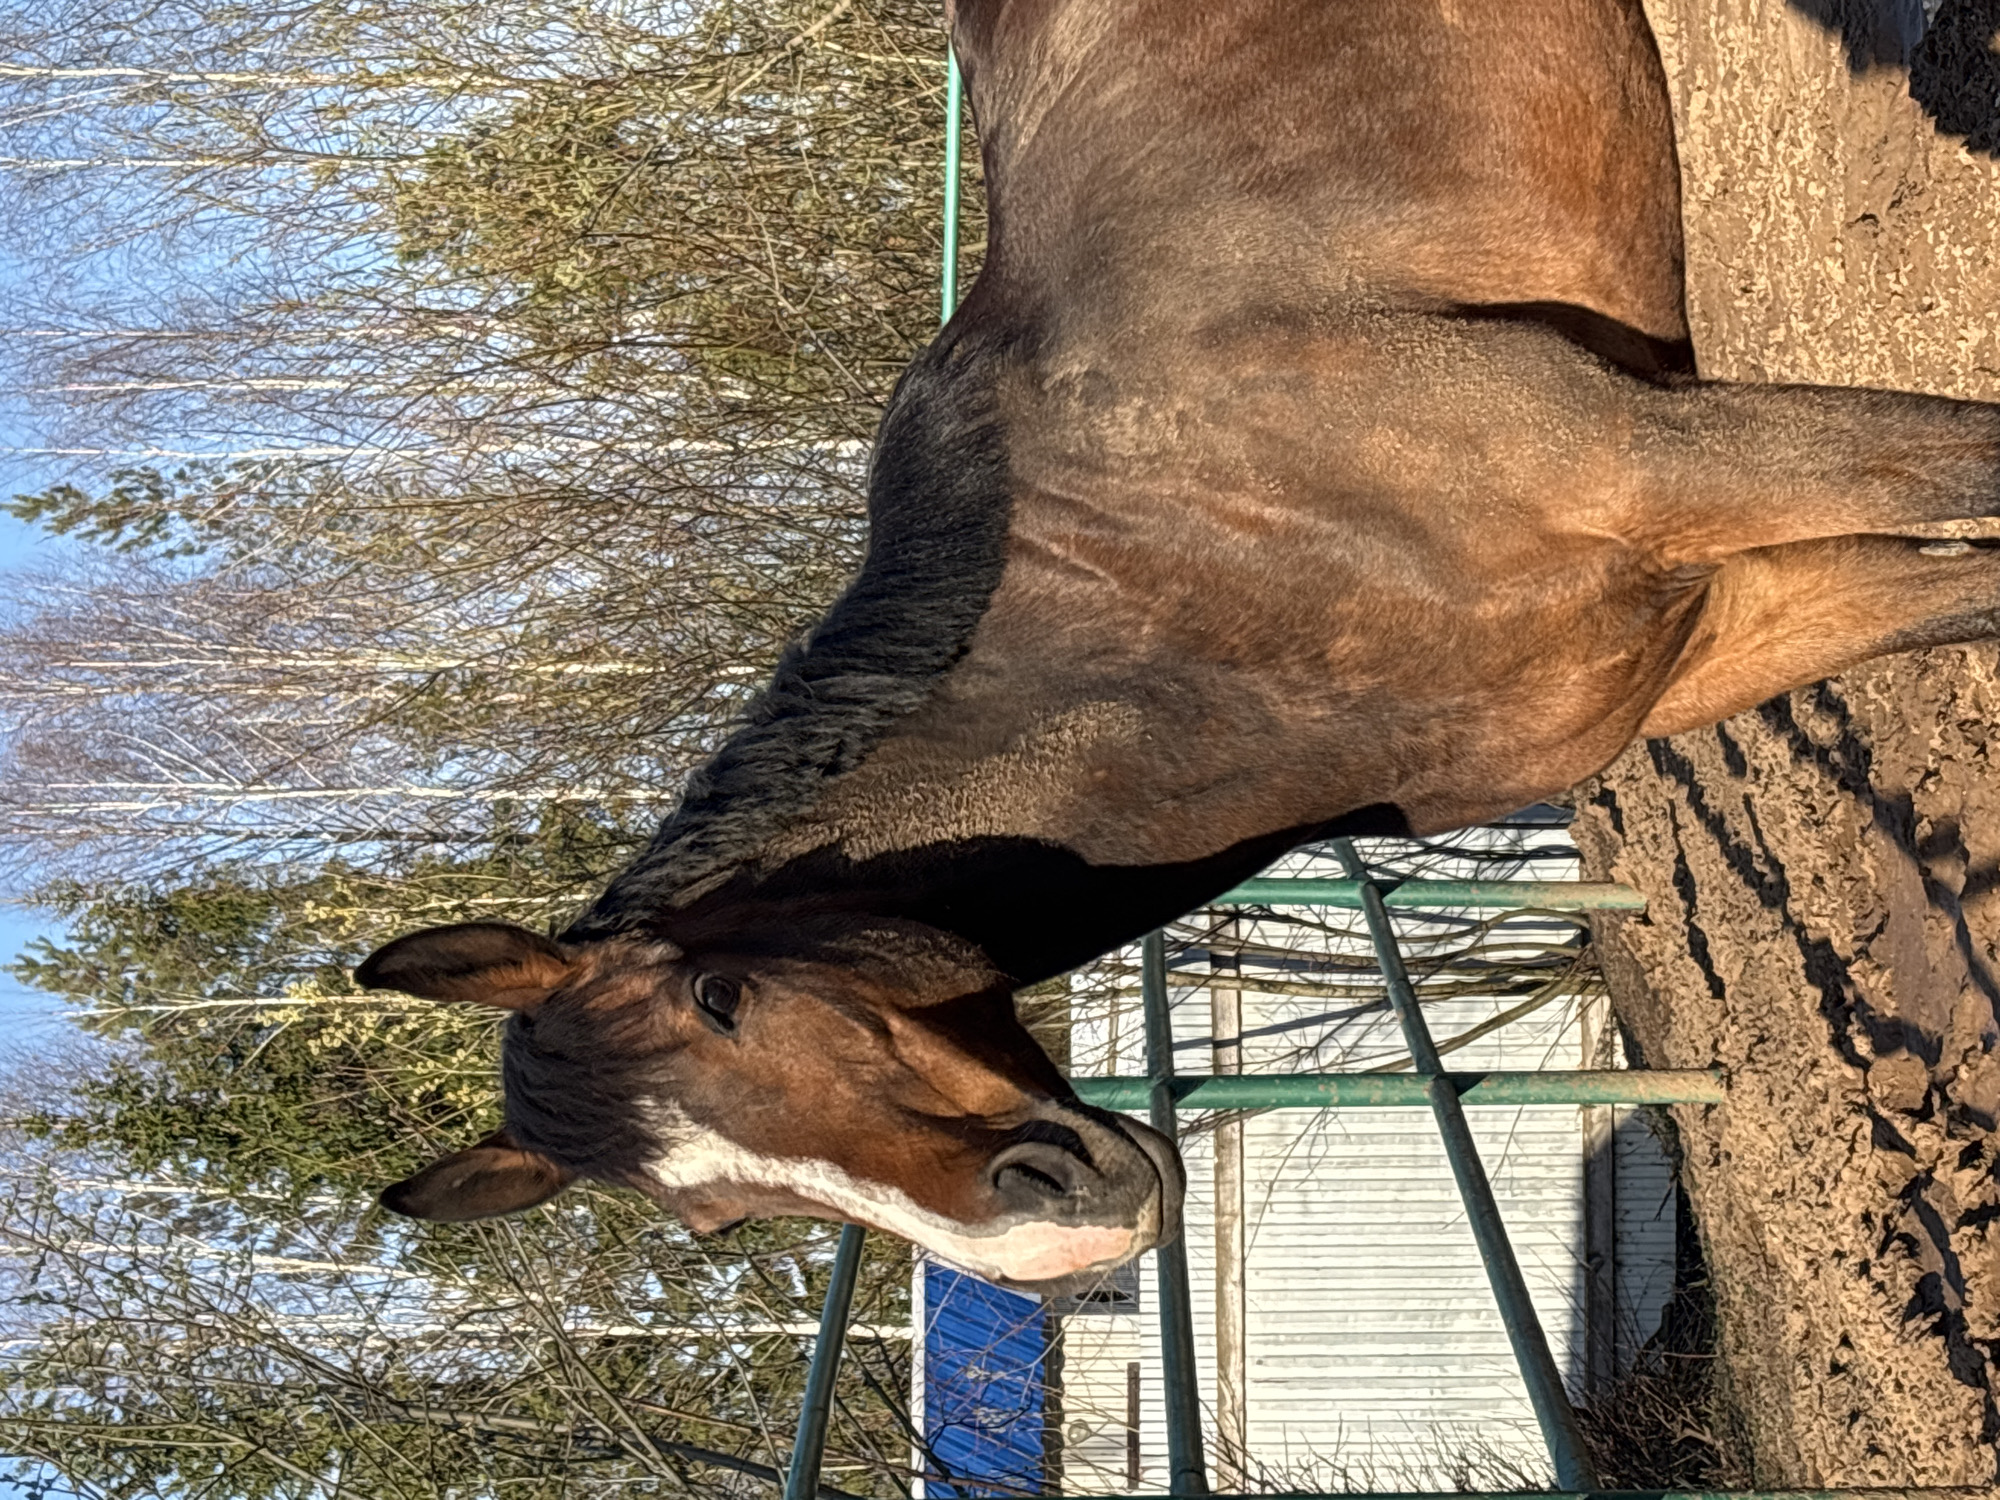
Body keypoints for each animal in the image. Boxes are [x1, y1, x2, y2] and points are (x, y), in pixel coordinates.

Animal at [356, 0, 2000, 1294]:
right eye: (718, 1220)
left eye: (720, 999)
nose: (1065, 1235)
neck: (1182, 603)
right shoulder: (1699, 640)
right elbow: (1961, 592)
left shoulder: (1675, 459)